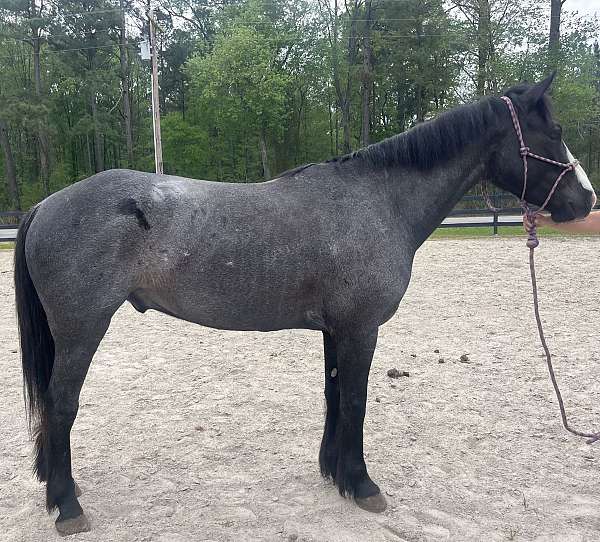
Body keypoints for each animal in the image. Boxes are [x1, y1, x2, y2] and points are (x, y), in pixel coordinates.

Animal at [14, 74, 596, 536]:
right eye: (555, 134)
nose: (586, 200)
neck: (378, 202)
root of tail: (46, 204)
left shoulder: (336, 330)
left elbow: (335, 396)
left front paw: (334, 474)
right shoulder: (361, 328)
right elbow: (357, 401)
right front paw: (362, 485)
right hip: (82, 330)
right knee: (61, 405)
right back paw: (68, 506)